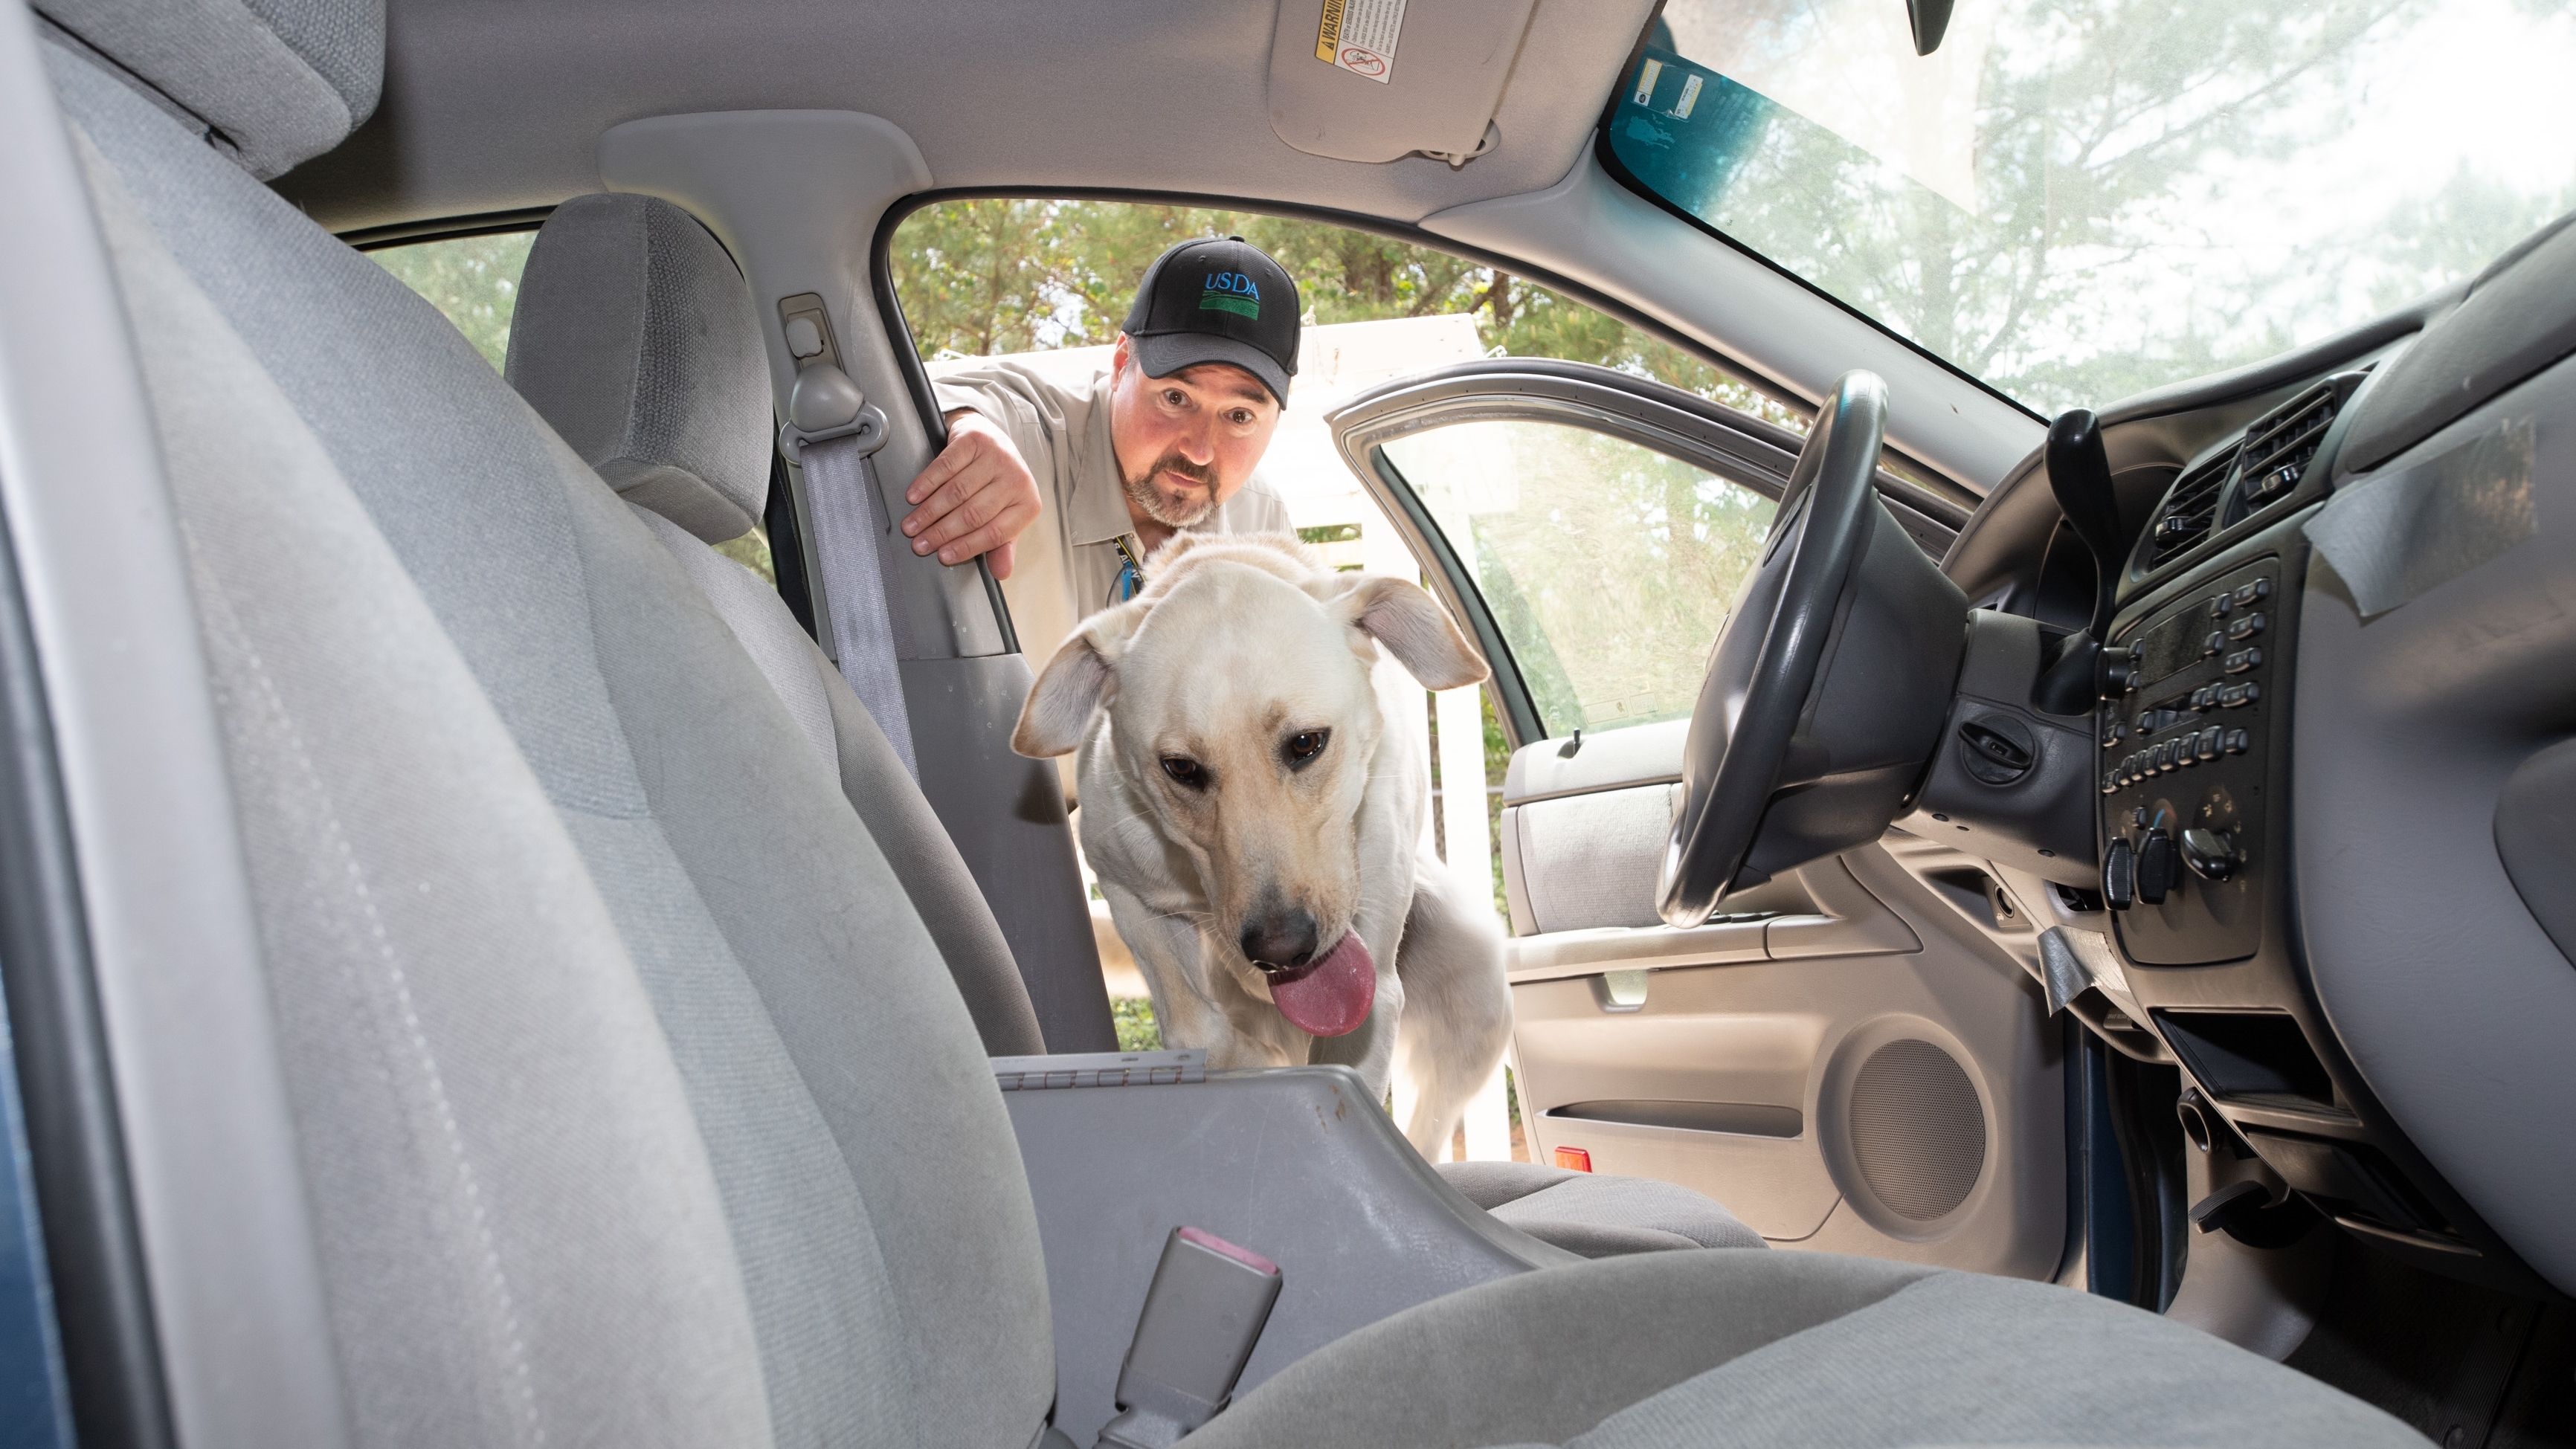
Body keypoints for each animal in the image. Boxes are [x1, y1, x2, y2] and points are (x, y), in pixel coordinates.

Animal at [1014, 532, 1514, 1158]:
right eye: (1181, 767)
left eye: (1306, 743)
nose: (1283, 949)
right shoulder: (1125, 889)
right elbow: (1201, 1029)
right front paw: (1256, 1066)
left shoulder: (1371, 982)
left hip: (1475, 1006)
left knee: (1427, 1128)